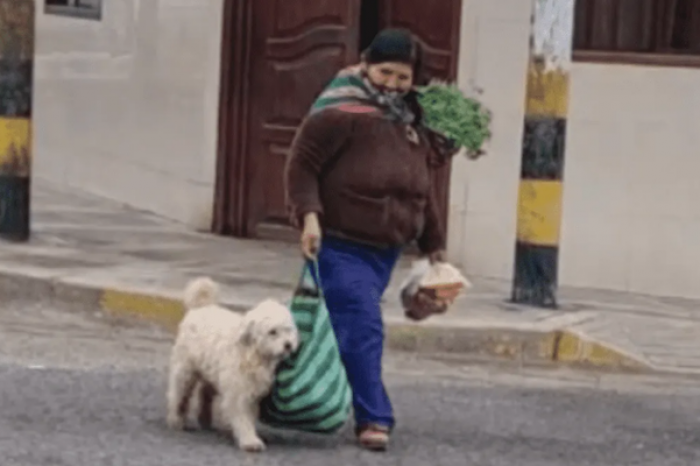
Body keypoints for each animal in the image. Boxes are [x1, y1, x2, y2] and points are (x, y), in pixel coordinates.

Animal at [167, 276, 298, 452]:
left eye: (288, 330)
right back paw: (176, 418)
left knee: (205, 394)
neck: (252, 352)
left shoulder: (253, 391)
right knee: (179, 393)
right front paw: (249, 440)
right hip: (185, 370)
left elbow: (248, 415)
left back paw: (204, 418)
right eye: (272, 332)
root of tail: (202, 307)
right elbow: (241, 415)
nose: (288, 345)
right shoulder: (238, 390)